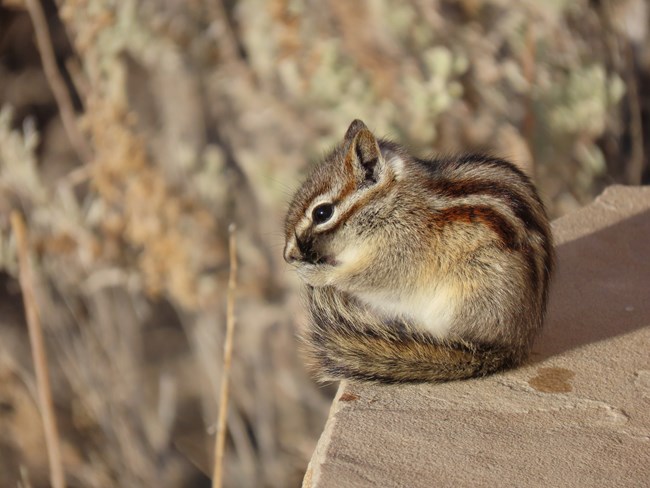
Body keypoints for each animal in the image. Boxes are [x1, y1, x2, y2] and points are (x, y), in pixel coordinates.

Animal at [284, 119, 554, 383]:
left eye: (322, 213)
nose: (288, 255)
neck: (393, 204)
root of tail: (515, 344)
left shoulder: (398, 254)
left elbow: (363, 277)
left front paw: (314, 273)